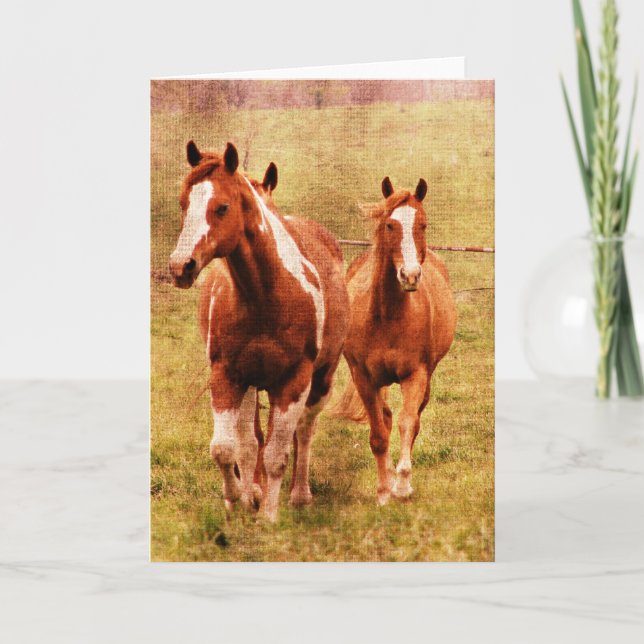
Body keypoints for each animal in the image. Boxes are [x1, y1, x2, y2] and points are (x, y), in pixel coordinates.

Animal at [169, 141, 349, 522]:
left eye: (222, 207)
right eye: (184, 203)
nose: (180, 266)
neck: (266, 296)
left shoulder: (295, 381)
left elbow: (277, 455)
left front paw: (268, 516)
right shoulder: (228, 375)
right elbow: (229, 447)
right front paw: (238, 497)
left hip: (322, 379)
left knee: (304, 432)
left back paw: (299, 495)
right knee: (252, 440)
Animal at [334, 176, 456, 505]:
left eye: (423, 225)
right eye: (390, 225)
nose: (410, 275)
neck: (388, 316)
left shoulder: (416, 375)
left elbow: (408, 422)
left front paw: (402, 486)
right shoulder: (364, 378)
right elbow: (379, 434)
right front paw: (383, 491)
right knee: (386, 419)